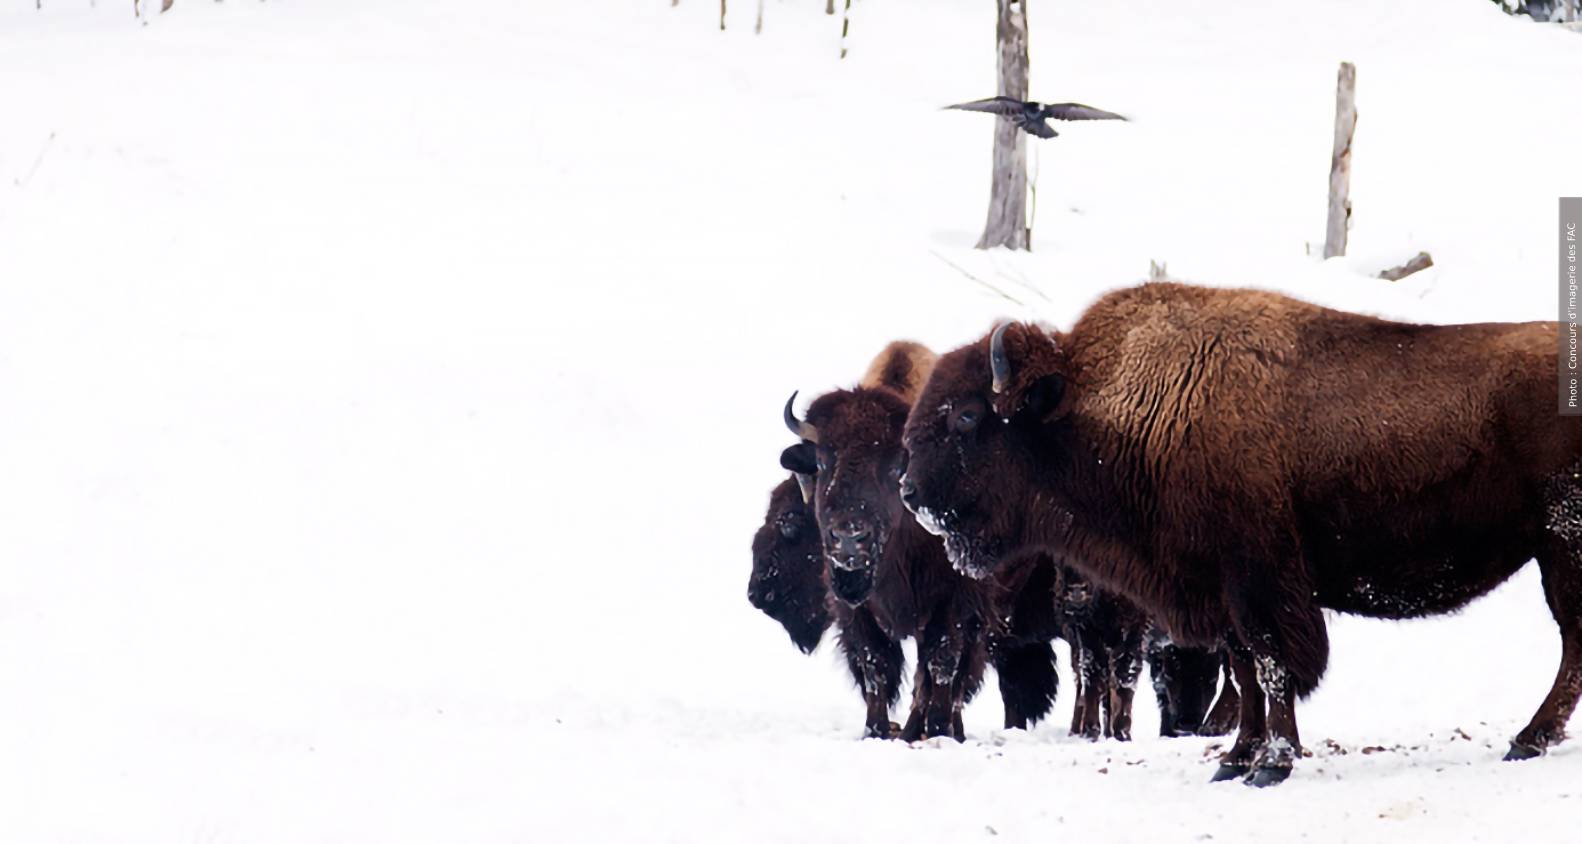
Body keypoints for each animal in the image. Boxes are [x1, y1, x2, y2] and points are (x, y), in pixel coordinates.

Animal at [900, 281, 1582, 785]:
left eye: (967, 417)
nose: (908, 492)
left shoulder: (1260, 581)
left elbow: (1273, 664)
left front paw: (1272, 764)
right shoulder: (1218, 588)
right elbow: (1246, 667)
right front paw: (1235, 759)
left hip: (1561, 550)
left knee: (1572, 642)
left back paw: (1528, 740)